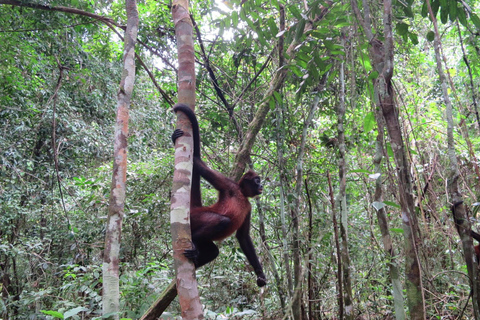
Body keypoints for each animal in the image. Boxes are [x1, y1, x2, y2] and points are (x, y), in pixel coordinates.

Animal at [171, 104, 266, 288]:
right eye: (257, 180)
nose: (261, 186)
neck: (241, 194)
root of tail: (196, 208)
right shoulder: (229, 185)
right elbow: (199, 164)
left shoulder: (248, 206)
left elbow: (243, 237)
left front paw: (260, 274)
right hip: (197, 218)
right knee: (223, 221)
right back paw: (195, 243)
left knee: (214, 251)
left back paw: (197, 258)